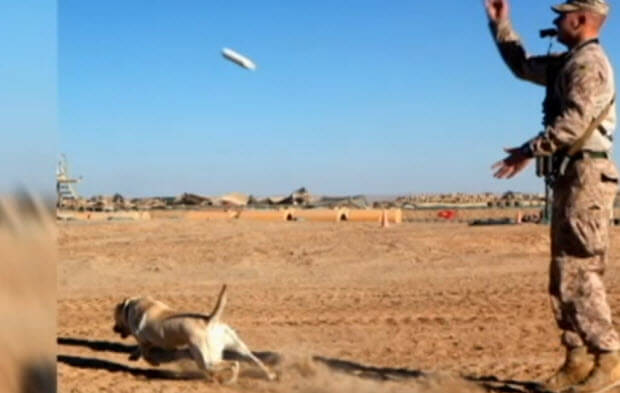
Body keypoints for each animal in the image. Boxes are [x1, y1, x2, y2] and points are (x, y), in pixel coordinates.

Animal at [112, 284, 276, 382]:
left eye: (115, 316)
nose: (113, 329)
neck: (134, 306)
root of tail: (210, 320)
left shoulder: (144, 340)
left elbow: (145, 353)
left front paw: (154, 362)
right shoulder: (147, 342)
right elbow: (140, 349)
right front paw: (133, 356)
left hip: (205, 360)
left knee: (234, 364)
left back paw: (228, 380)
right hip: (239, 347)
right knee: (255, 360)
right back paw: (270, 375)